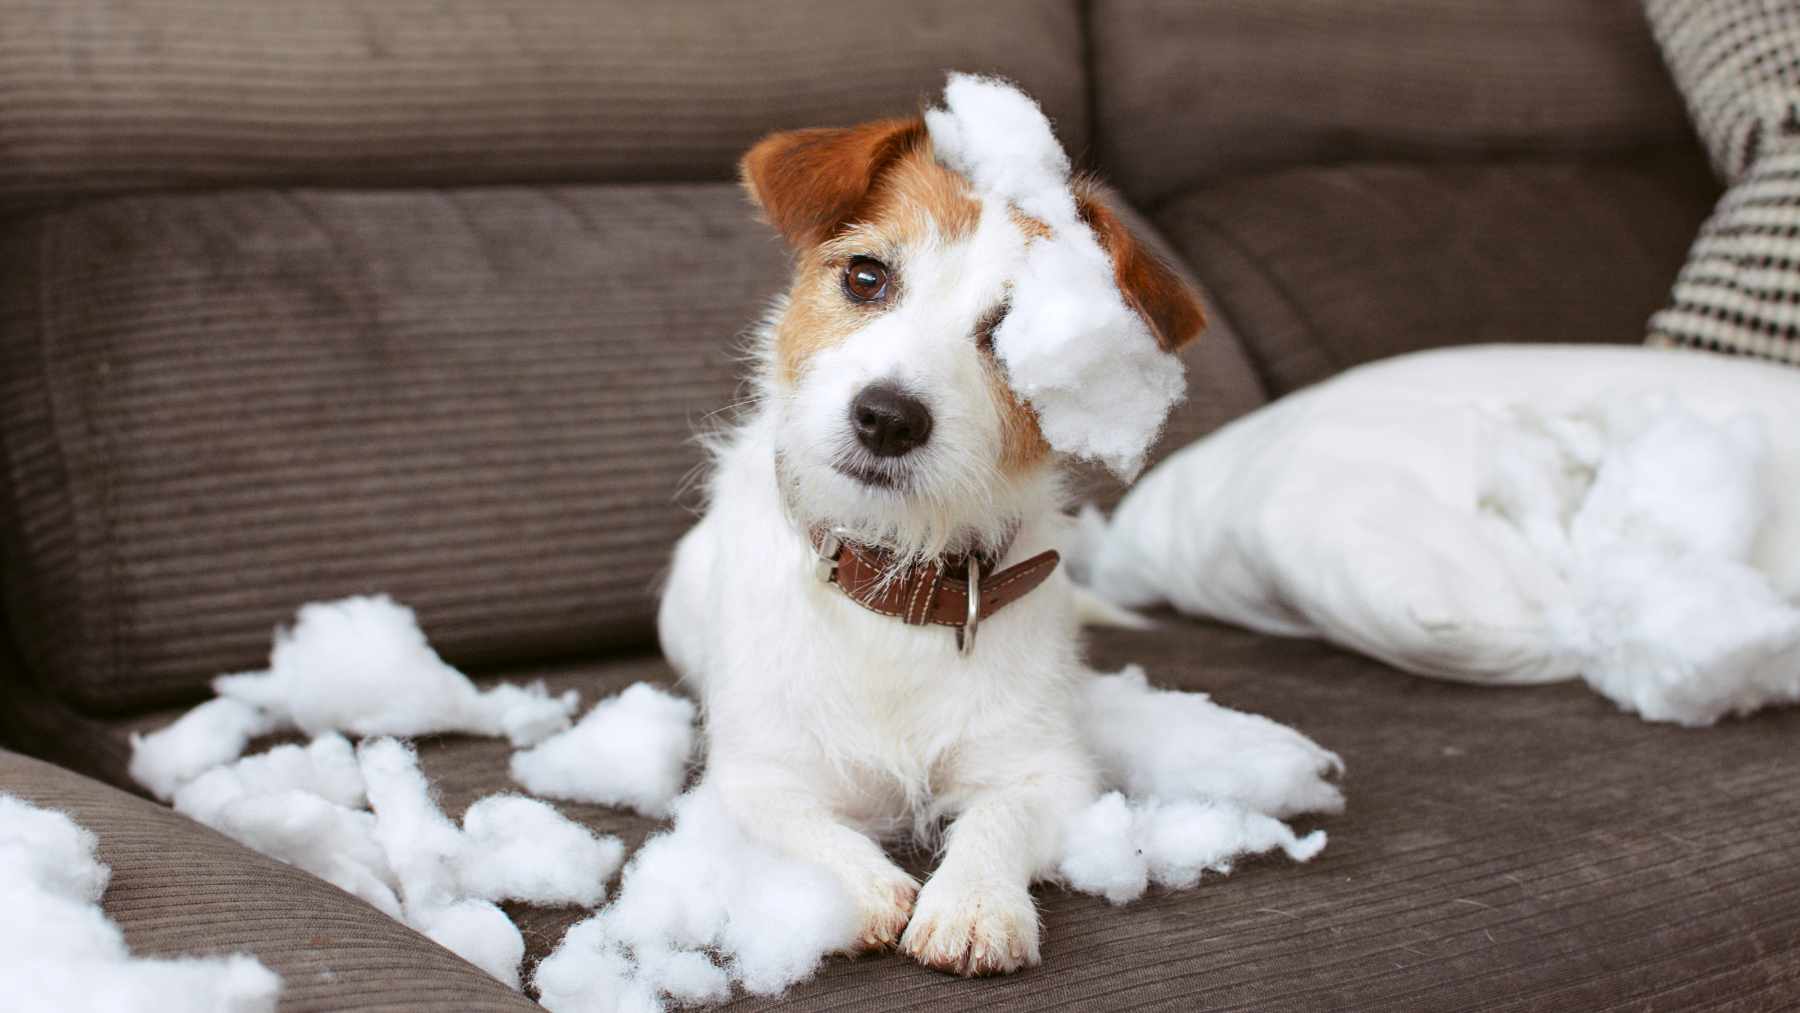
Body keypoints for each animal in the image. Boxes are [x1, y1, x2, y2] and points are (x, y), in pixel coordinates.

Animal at [655, 75, 1202, 978]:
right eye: (866, 276)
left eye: (1012, 336)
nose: (886, 417)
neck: (895, 577)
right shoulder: (758, 775)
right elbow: (807, 826)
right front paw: (868, 887)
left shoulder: (1043, 771)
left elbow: (998, 818)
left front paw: (974, 903)